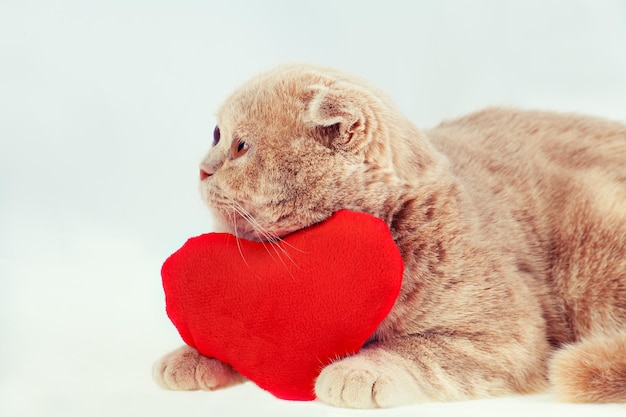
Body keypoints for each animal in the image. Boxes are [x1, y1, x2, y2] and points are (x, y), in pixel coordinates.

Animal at [152, 63, 624, 408]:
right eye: (216, 135)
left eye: (240, 147)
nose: (202, 168)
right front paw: (191, 358)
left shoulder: (509, 335)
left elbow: (416, 350)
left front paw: (358, 370)